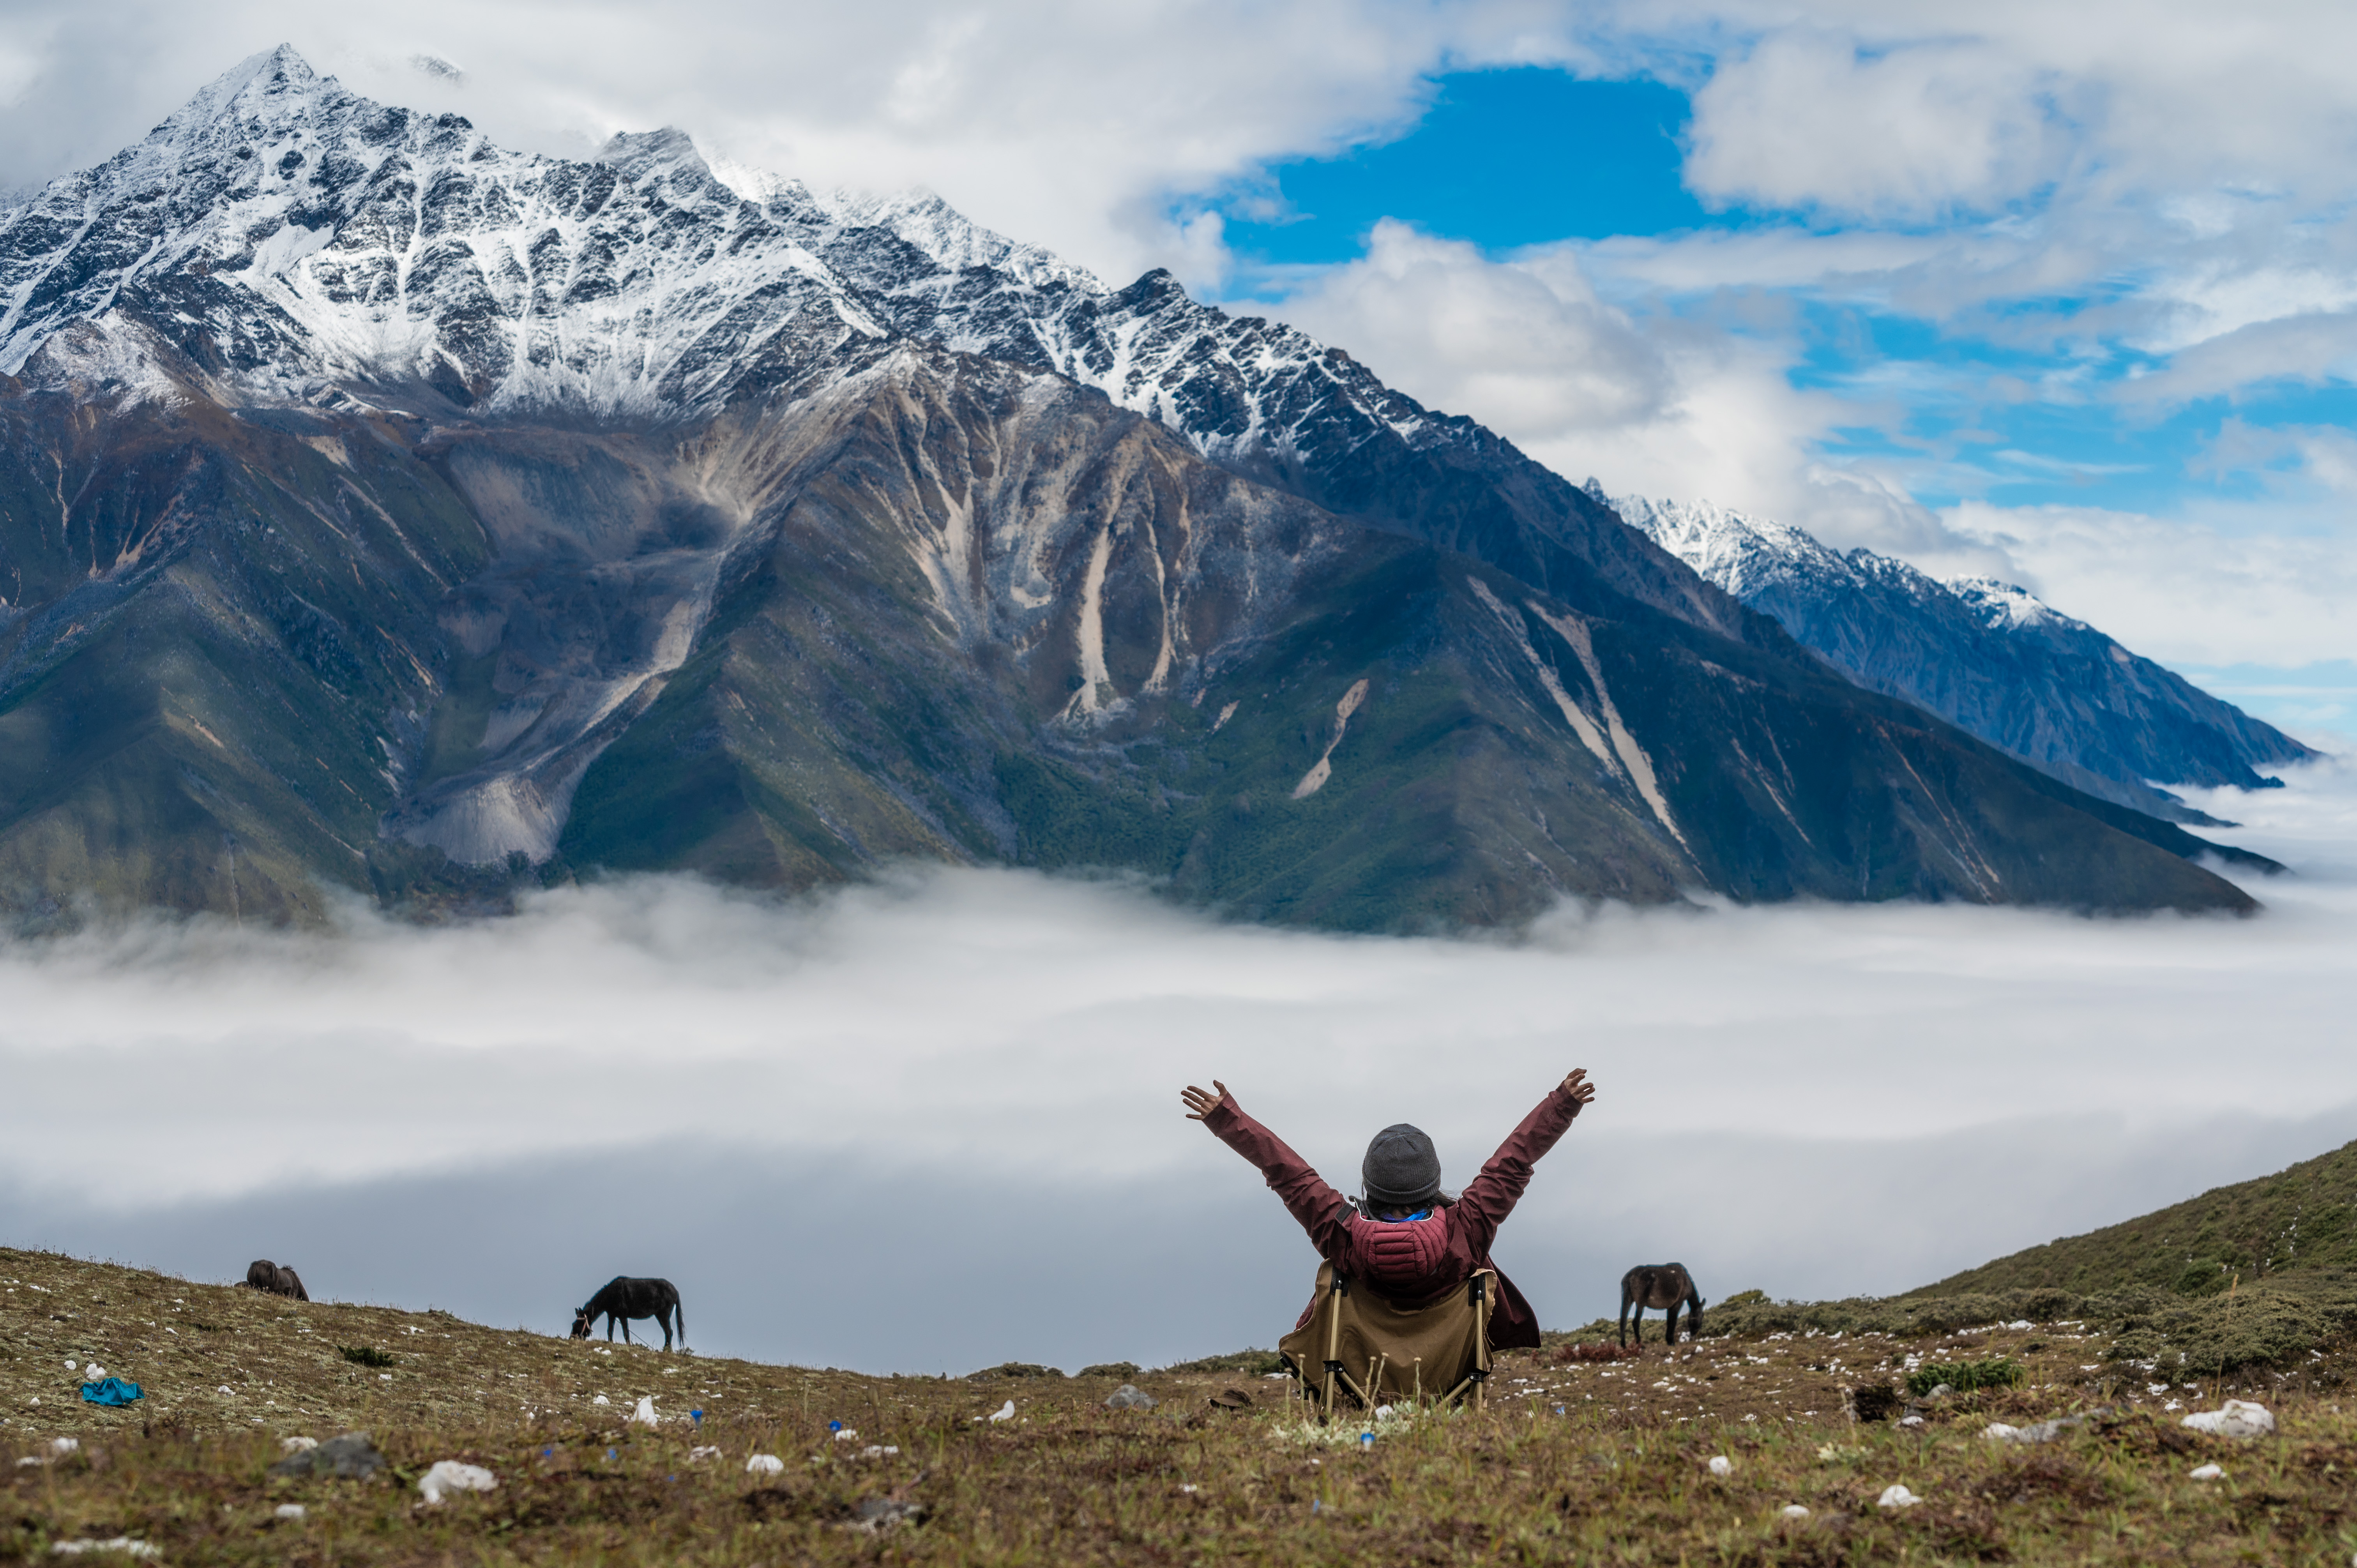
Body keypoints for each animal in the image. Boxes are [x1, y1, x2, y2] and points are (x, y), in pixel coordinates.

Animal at [568, 1273, 683, 1349]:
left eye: (576, 1324)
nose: (571, 1340)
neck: (611, 1295)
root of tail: (676, 1291)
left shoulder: (623, 1316)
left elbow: (626, 1332)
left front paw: (629, 1346)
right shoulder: (612, 1315)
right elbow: (610, 1331)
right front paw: (610, 1343)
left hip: (663, 1315)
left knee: (669, 1332)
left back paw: (666, 1350)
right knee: (668, 1332)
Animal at [1612, 1264, 1706, 1349]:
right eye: (1702, 1316)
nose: (1694, 1333)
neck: (1687, 1281)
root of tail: (1629, 1278)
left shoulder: (1670, 1307)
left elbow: (1669, 1322)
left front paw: (1668, 1340)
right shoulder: (1678, 1303)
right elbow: (1674, 1321)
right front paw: (1672, 1342)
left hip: (1628, 1299)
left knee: (1623, 1320)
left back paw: (1624, 1345)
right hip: (1640, 1303)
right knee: (1636, 1322)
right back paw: (1641, 1345)